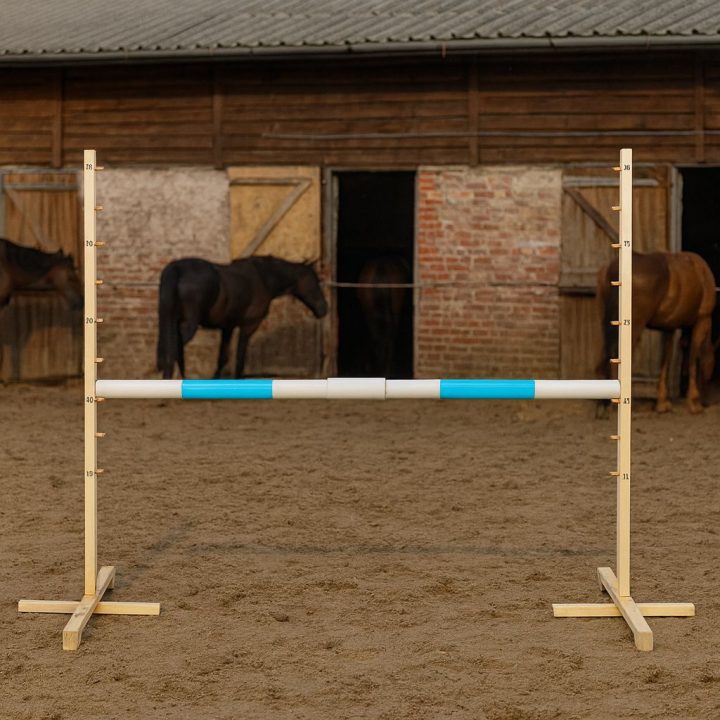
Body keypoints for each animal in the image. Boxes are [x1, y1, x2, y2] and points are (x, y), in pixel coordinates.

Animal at [157, 255, 328, 379]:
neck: (263, 278)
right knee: (174, 349)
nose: (324, 309)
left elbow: (223, 357)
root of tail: (177, 267)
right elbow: (240, 356)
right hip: (188, 324)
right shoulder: (248, 326)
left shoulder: (228, 327)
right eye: (314, 281)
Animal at [597, 251, 716, 414]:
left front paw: (662, 403)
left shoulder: (670, 328)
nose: (706, 400)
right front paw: (693, 402)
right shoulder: (702, 320)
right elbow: (692, 357)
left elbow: (666, 359)